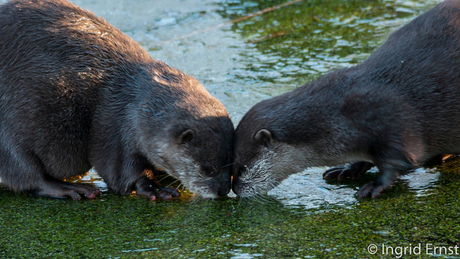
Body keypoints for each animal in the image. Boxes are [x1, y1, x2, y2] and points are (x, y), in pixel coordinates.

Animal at [0, 0, 232, 201]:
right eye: (207, 169)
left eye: (231, 163)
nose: (223, 190)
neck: (135, 102)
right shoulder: (117, 125)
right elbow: (123, 172)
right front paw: (154, 187)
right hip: (8, 134)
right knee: (28, 176)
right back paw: (73, 188)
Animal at [232, 0, 460, 199]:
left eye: (241, 168)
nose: (234, 189)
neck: (340, 119)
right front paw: (348, 168)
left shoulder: (396, 126)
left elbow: (399, 163)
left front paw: (375, 185)